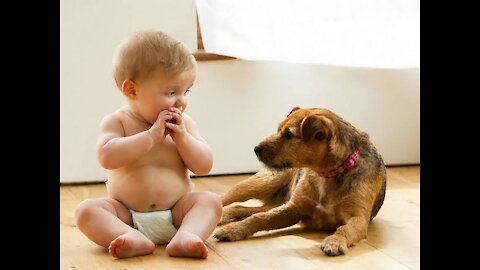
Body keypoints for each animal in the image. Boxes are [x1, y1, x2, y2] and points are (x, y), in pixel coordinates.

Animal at [214, 106, 386, 255]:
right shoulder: (294, 208)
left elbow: (345, 229)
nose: (255, 149)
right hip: (260, 184)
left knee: (241, 208)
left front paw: (335, 241)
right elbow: (261, 218)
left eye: (289, 134)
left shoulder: (358, 219)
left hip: (278, 200)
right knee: (225, 199)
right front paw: (232, 229)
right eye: (279, 129)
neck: (327, 174)